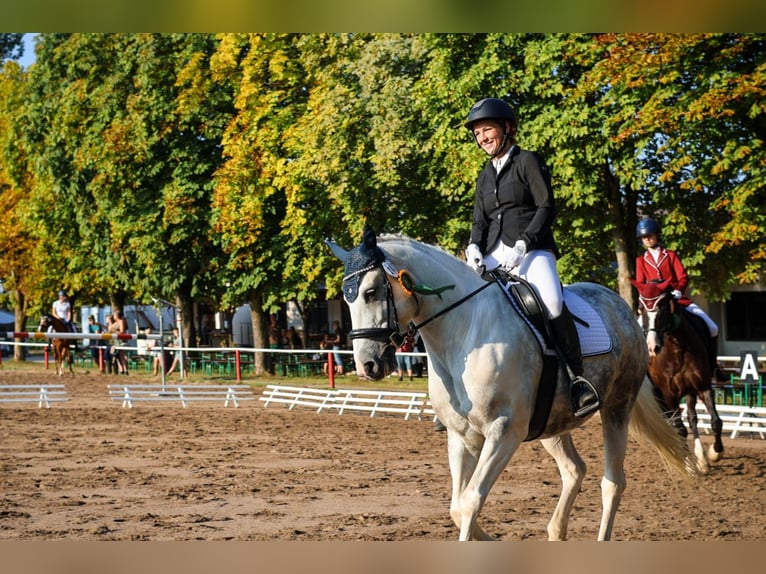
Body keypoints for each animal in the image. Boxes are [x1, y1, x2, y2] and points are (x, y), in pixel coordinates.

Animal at [330, 224, 696, 541]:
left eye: (371, 292)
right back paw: (556, 532)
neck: (463, 332)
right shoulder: (461, 436)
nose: (367, 365)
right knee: (573, 470)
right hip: (553, 423)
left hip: (617, 408)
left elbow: (471, 500)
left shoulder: (503, 431)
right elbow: (456, 507)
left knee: (612, 483)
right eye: (346, 300)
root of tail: (621, 307)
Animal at [630, 278, 724, 473]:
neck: (676, 349)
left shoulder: (703, 386)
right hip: (659, 396)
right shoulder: (669, 394)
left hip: (689, 391)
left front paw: (715, 453)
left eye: (663, 308)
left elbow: (715, 421)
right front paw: (688, 466)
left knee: (692, 417)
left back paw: (702, 460)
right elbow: (680, 430)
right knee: (676, 424)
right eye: (641, 309)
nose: (652, 347)